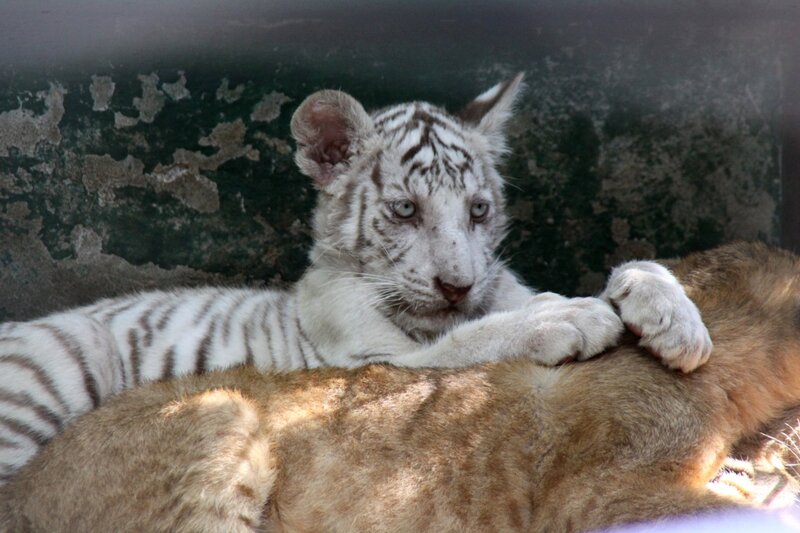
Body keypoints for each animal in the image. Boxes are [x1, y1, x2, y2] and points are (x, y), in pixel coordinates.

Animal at [0, 73, 711, 484]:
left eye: (479, 210)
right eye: (406, 211)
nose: (457, 286)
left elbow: (626, 269)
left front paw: (676, 320)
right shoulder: (375, 360)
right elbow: (473, 339)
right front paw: (568, 316)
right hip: (49, 377)